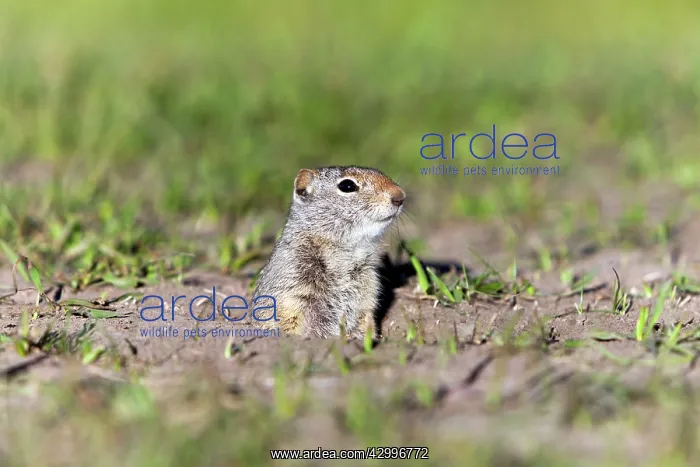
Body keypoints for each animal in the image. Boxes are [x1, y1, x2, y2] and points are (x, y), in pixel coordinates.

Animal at [252, 166, 405, 339]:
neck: (347, 251)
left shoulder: (367, 291)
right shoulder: (291, 283)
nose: (400, 196)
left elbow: (365, 320)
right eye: (347, 186)